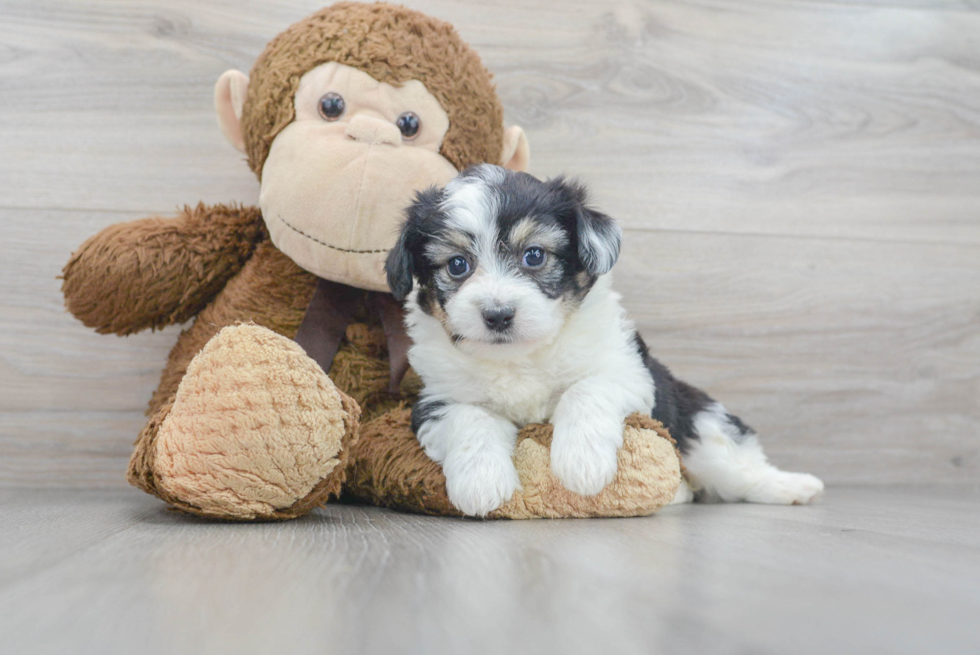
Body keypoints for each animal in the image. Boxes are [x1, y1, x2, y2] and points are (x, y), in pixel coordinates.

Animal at [386, 164, 824, 516]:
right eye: (457, 265)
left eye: (534, 256)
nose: (497, 315)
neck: (522, 356)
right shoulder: (436, 398)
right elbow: (470, 418)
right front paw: (481, 483)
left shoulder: (627, 371)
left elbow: (584, 390)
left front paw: (581, 464)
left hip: (700, 427)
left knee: (737, 468)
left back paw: (793, 486)